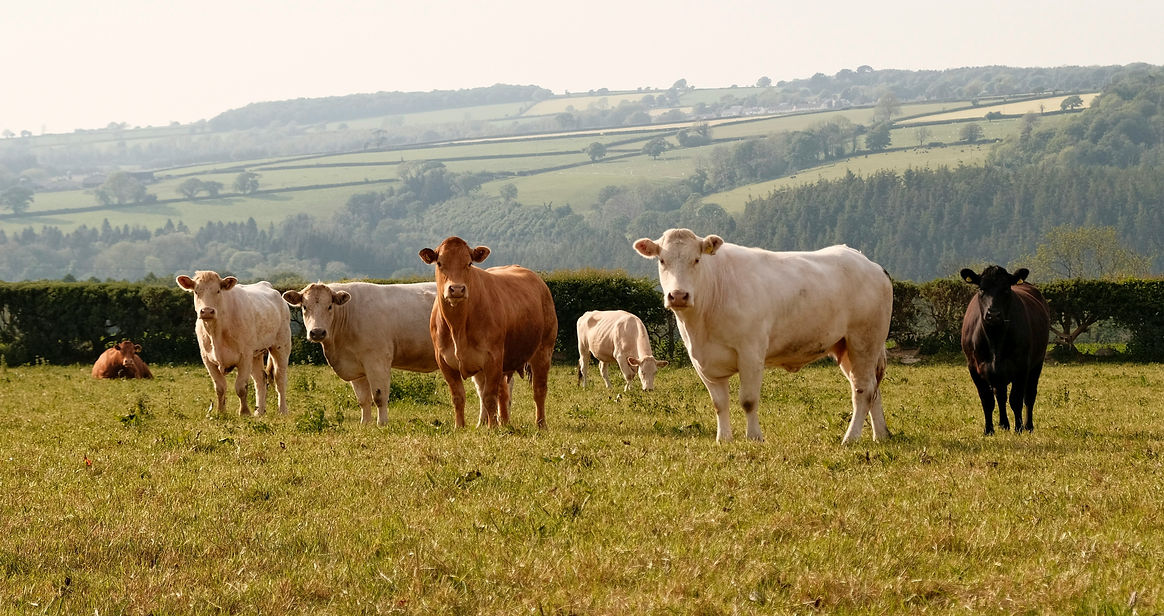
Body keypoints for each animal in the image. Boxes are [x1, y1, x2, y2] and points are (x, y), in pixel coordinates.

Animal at [176, 271, 291, 416]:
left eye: (218, 291)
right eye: (196, 291)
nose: (207, 311)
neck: (216, 331)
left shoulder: (244, 356)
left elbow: (241, 387)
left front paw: (244, 412)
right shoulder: (207, 359)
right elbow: (220, 387)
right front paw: (221, 412)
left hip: (281, 345)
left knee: (279, 379)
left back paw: (283, 410)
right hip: (256, 354)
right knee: (260, 379)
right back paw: (259, 412)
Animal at [282, 281, 439, 425]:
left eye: (330, 306)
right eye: (304, 307)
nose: (317, 332)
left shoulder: (377, 361)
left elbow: (379, 397)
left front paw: (382, 424)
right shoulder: (356, 368)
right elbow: (363, 400)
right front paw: (365, 424)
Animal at [418, 237, 557, 429]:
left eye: (469, 263)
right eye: (439, 263)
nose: (457, 289)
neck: (458, 327)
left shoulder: (493, 358)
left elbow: (490, 396)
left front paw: (492, 428)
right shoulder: (444, 361)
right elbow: (459, 396)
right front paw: (459, 426)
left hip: (544, 349)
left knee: (539, 389)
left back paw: (540, 424)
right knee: (502, 392)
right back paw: (498, 422)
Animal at [633, 228, 893, 444]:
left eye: (696, 260)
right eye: (662, 261)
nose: (678, 295)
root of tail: (870, 264)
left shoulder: (751, 353)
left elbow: (748, 400)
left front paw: (754, 437)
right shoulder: (703, 362)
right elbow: (719, 403)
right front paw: (723, 439)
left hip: (864, 341)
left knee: (863, 390)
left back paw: (851, 438)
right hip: (845, 347)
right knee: (872, 389)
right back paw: (880, 435)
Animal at [959, 265, 1050, 435]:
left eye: (1006, 289)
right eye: (981, 289)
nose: (993, 314)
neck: (995, 339)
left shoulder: (1022, 366)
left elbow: (1016, 399)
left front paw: (1019, 428)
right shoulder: (973, 367)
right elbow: (987, 399)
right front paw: (989, 430)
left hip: (1037, 362)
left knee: (1029, 395)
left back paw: (1028, 426)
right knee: (1000, 395)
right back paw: (1003, 424)